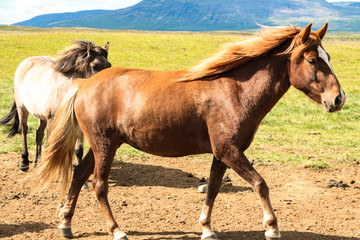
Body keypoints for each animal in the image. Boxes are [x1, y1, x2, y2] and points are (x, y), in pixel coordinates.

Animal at [0, 39, 111, 171]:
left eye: (109, 66)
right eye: (95, 67)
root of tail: (25, 62)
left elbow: (78, 150)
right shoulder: (52, 120)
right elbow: (50, 144)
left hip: (41, 115)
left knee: (39, 133)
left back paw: (37, 162)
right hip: (22, 108)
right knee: (24, 130)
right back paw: (24, 162)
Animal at [35, 23, 344, 240]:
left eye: (329, 56)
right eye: (313, 60)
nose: (339, 99)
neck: (236, 91)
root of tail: (83, 85)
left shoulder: (222, 154)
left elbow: (214, 189)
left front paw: (207, 228)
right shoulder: (229, 151)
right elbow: (260, 183)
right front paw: (272, 227)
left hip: (104, 145)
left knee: (78, 176)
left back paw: (65, 224)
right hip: (104, 145)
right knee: (98, 185)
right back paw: (117, 230)